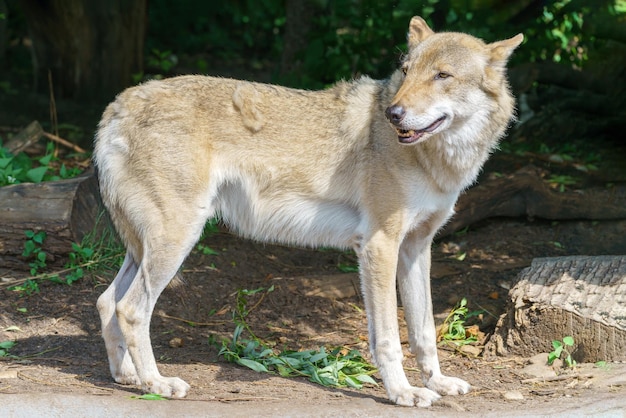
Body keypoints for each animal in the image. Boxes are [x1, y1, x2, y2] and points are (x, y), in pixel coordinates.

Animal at [92, 17, 520, 408]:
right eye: (405, 71)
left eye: (442, 75)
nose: (393, 113)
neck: (435, 160)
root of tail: (118, 104)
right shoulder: (379, 246)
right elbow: (387, 338)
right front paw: (402, 393)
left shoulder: (417, 248)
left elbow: (424, 331)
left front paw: (439, 384)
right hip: (177, 240)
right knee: (130, 309)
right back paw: (156, 383)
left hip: (147, 248)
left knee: (106, 301)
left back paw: (127, 376)